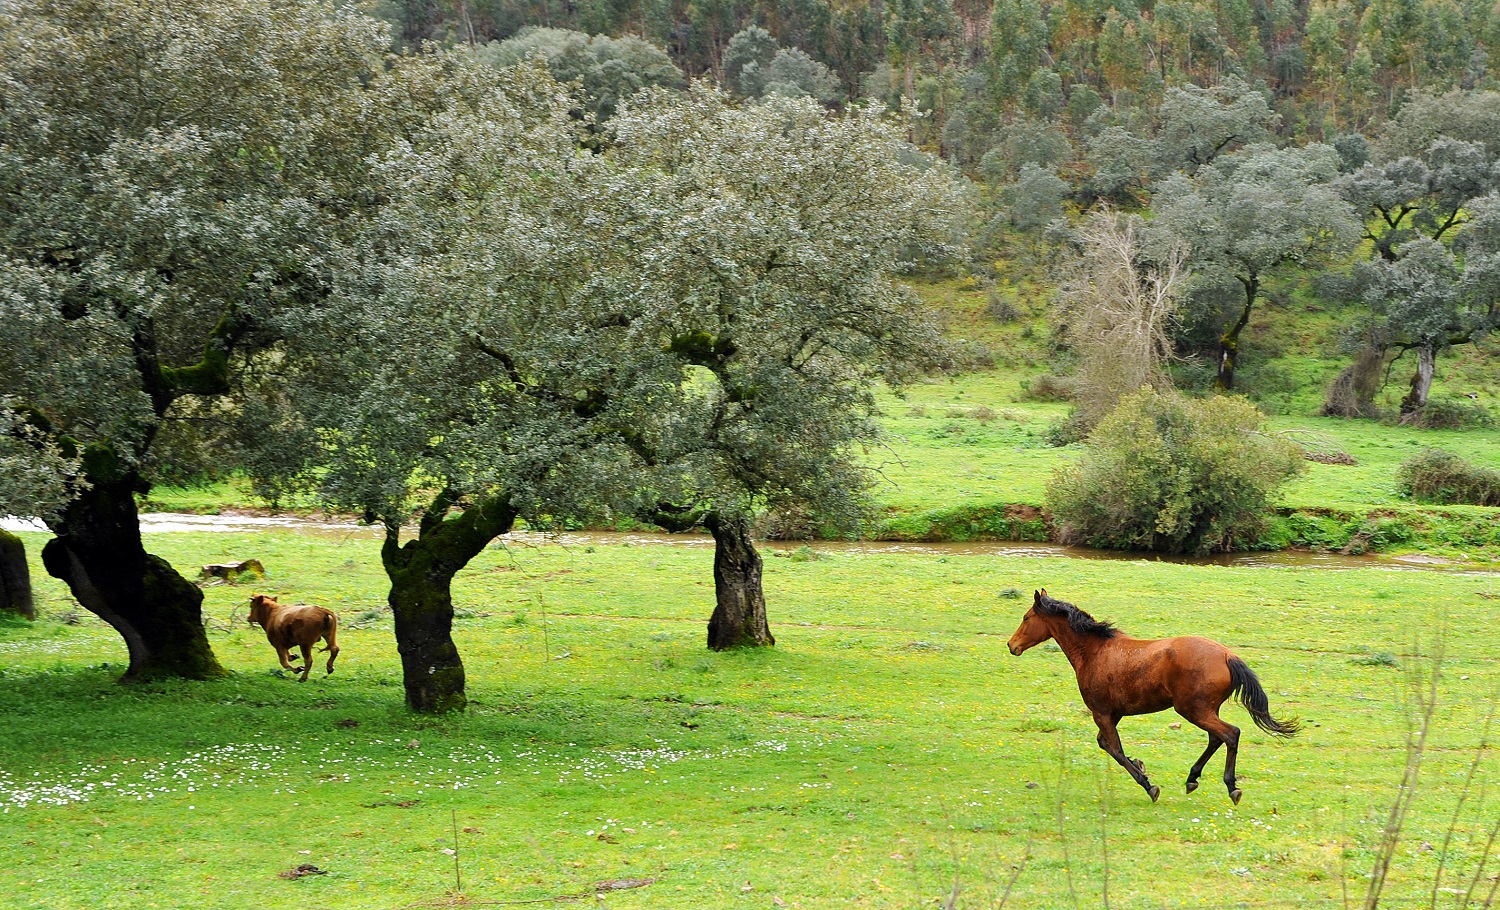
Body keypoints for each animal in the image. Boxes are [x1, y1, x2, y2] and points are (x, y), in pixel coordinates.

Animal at [1008, 590, 1302, 803]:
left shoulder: (1101, 713)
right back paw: (1192, 778)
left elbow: (1114, 748)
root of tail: (1227, 655)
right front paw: (1141, 765)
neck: (1094, 652)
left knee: (1230, 734)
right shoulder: (1112, 715)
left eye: (1026, 618)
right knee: (1216, 738)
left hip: (1193, 710)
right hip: (1205, 710)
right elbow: (1108, 745)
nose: (1012, 645)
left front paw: (1148, 785)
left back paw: (1231, 787)